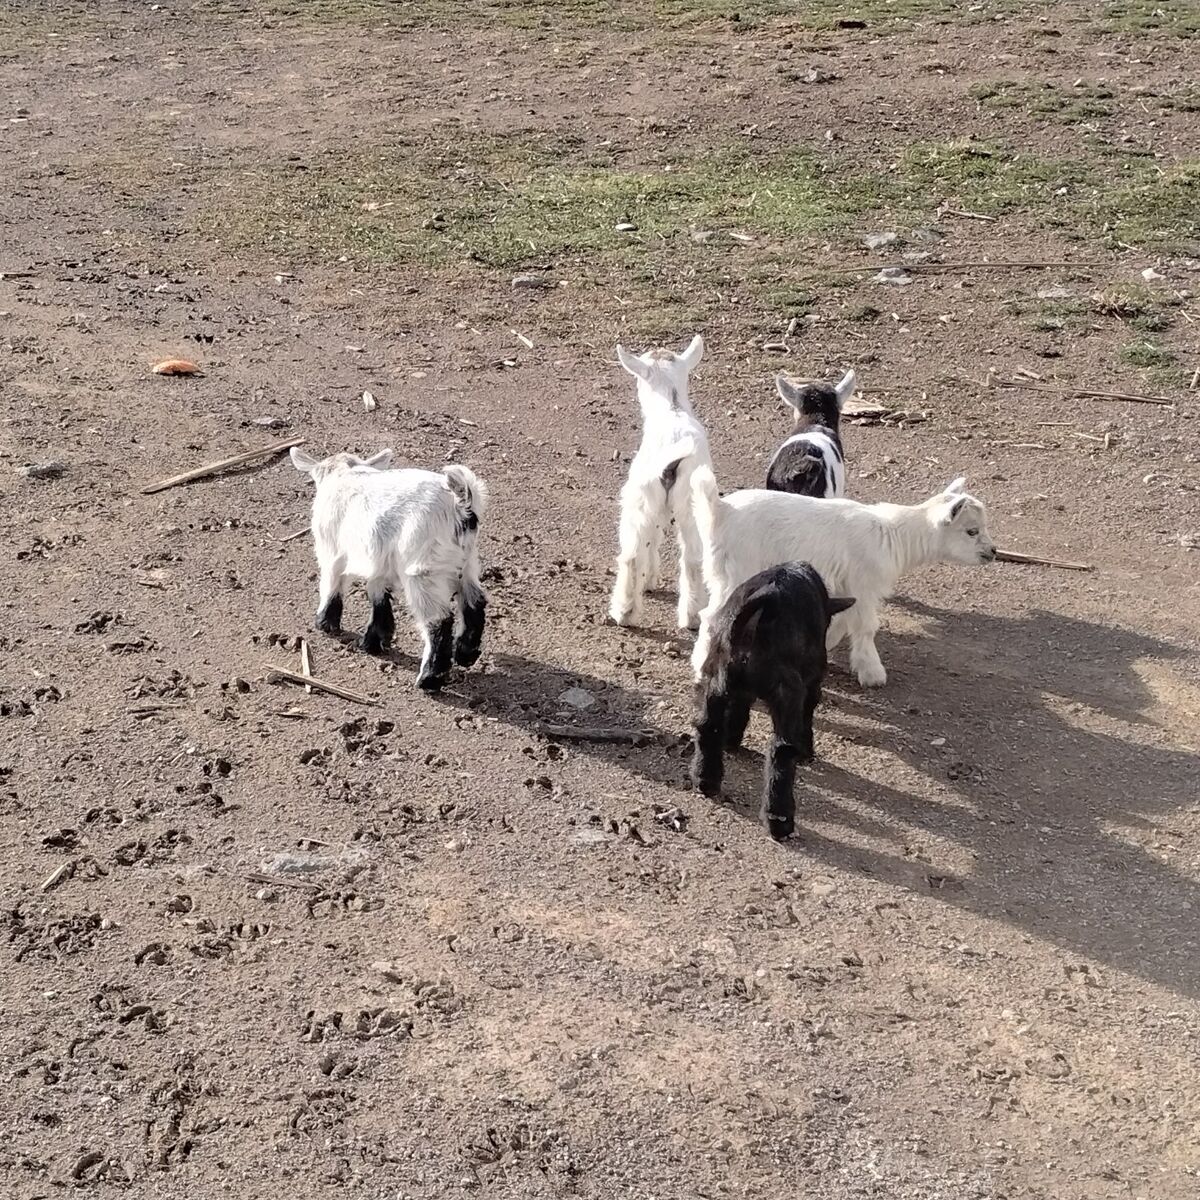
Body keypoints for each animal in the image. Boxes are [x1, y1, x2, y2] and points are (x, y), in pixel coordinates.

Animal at [290, 447, 488, 692]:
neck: (344, 474)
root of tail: (460, 503)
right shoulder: (379, 559)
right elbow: (378, 594)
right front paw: (374, 640)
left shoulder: (331, 550)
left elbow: (332, 583)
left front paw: (324, 622)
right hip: (467, 561)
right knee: (474, 601)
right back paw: (465, 654)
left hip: (422, 571)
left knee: (438, 621)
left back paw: (429, 678)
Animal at [608, 334, 711, 630]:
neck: (672, 408)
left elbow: (651, 540)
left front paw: (650, 581)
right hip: (690, 502)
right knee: (693, 558)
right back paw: (691, 617)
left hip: (639, 497)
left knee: (632, 555)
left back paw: (624, 612)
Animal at [689, 469, 995, 688]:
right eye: (971, 531)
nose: (992, 552)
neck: (893, 535)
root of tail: (720, 510)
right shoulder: (865, 584)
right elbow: (866, 627)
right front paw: (873, 674)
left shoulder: (846, 585)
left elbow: (842, 620)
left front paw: (827, 645)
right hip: (738, 572)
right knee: (713, 616)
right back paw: (702, 666)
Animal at [692, 563, 853, 840]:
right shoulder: (812, 680)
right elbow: (808, 715)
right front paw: (808, 752)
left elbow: (739, 710)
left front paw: (731, 741)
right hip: (787, 693)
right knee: (782, 751)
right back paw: (780, 820)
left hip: (716, 683)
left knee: (708, 726)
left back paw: (706, 780)